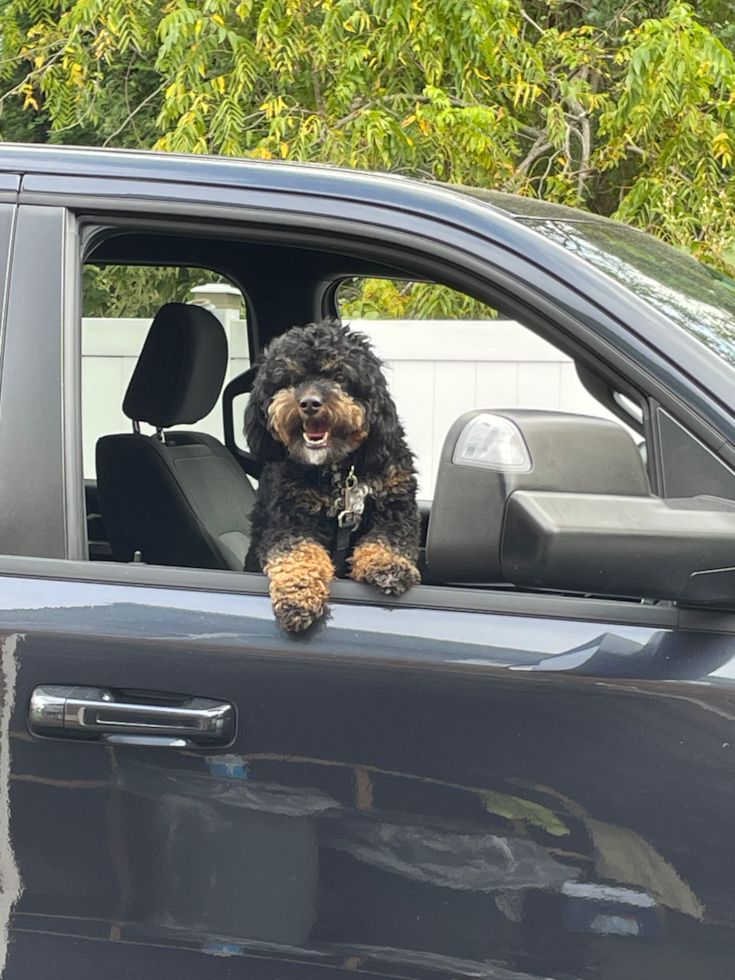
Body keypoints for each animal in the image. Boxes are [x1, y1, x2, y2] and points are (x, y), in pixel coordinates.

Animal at [244, 318, 420, 632]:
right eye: (290, 379)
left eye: (338, 374)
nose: (309, 403)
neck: (340, 471)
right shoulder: (287, 518)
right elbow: (298, 553)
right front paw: (297, 596)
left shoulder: (396, 506)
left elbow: (388, 539)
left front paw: (388, 566)